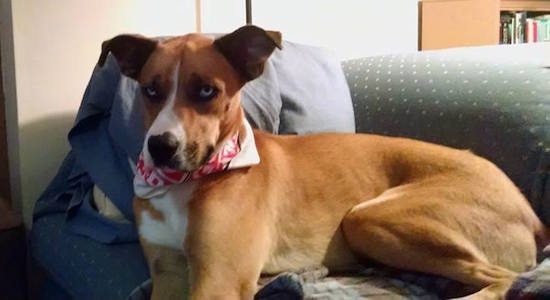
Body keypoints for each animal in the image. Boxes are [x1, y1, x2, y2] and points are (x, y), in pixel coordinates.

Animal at [99, 24, 550, 298]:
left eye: (207, 91)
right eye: (150, 90)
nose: (160, 147)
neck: (187, 182)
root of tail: (529, 211)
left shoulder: (218, 279)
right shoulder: (168, 275)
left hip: (371, 217)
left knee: (506, 279)